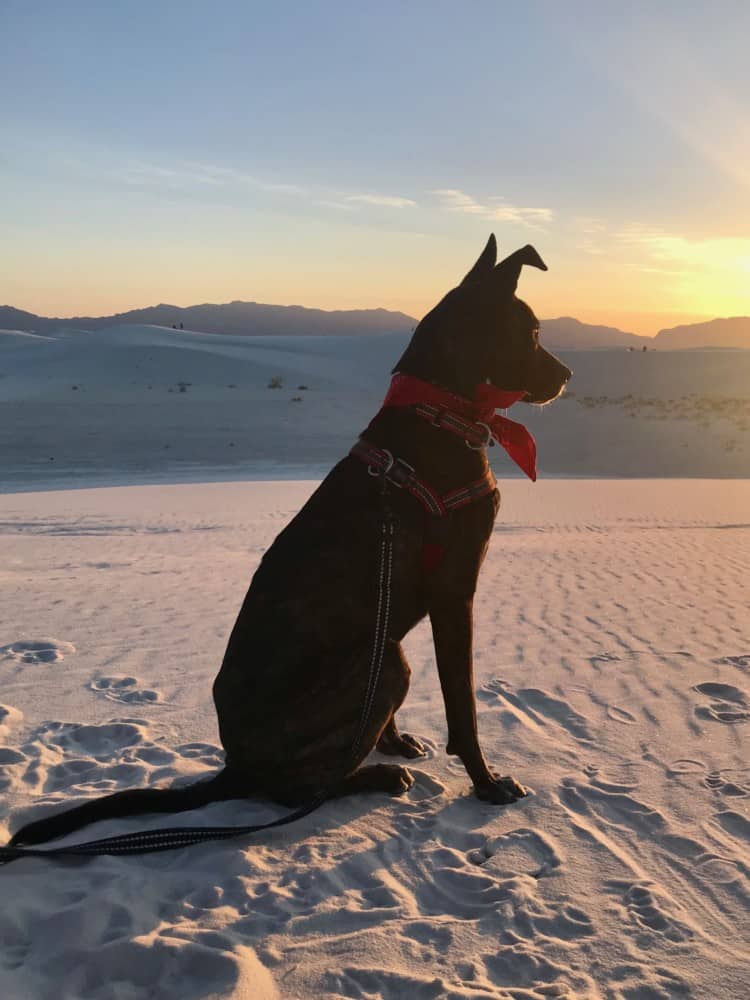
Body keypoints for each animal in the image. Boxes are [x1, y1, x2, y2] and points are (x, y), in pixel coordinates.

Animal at [10, 236, 568, 852]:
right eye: (532, 332)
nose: (568, 375)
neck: (439, 411)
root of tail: (237, 765)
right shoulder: (454, 595)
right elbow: (463, 708)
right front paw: (487, 783)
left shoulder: (398, 614)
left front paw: (396, 740)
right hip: (384, 665)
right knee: (293, 793)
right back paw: (374, 778)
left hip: (383, 658)